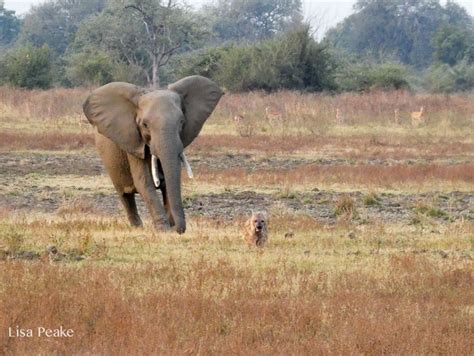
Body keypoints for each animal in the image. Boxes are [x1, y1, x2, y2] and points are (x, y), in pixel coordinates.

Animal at [82, 75, 223, 234]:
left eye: (182, 122)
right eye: (145, 125)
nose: (178, 229)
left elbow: (169, 181)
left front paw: (170, 226)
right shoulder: (133, 141)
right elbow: (144, 182)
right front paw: (163, 230)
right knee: (125, 195)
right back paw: (137, 227)